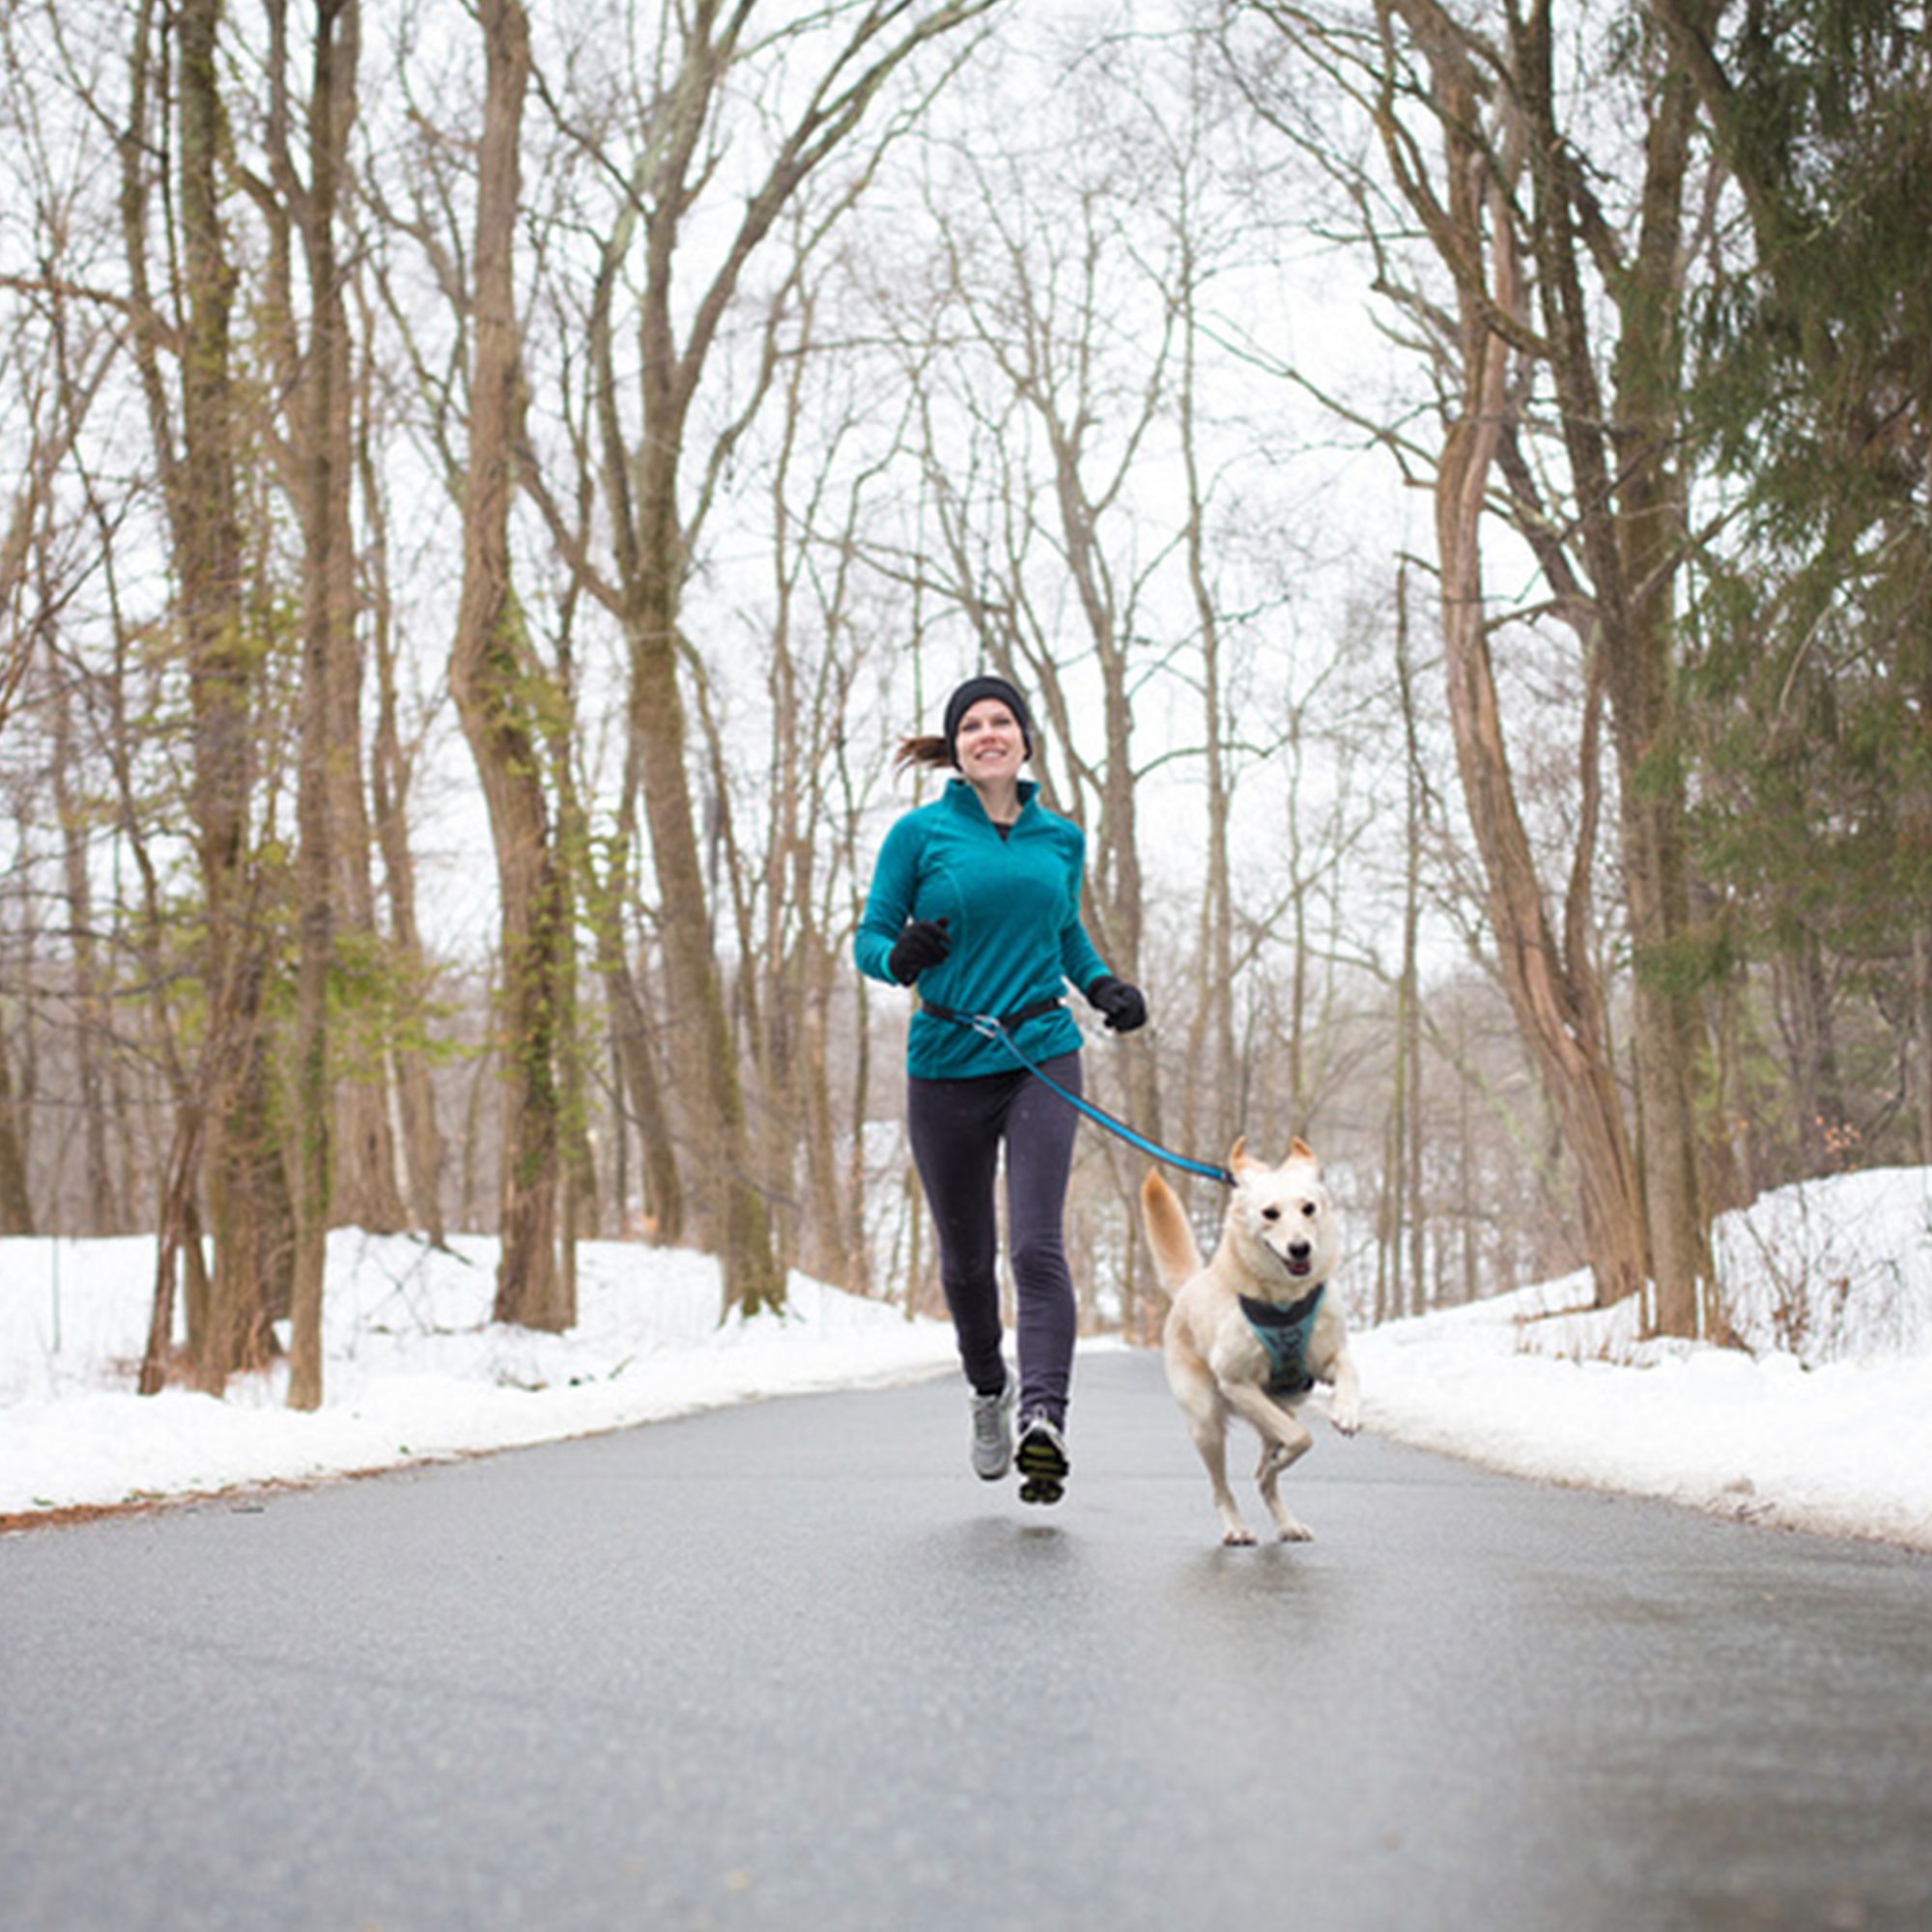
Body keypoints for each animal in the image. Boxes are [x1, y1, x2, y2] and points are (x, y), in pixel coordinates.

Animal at [1144, 1136, 1360, 1546]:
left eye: (1308, 1208)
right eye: (1270, 1213)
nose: (1300, 1248)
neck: (1284, 1300)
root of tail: (1189, 1286)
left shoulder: (1325, 1359)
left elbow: (1348, 1369)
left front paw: (1346, 1412)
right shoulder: (1237, 1383)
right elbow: (1302, 1437)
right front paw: (1291, 1451)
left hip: (1279, 1407)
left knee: (1265, 1478)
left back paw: (1287, 1519)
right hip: (1207, 1422)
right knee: (1222, 1486)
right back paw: (1236, 1527)